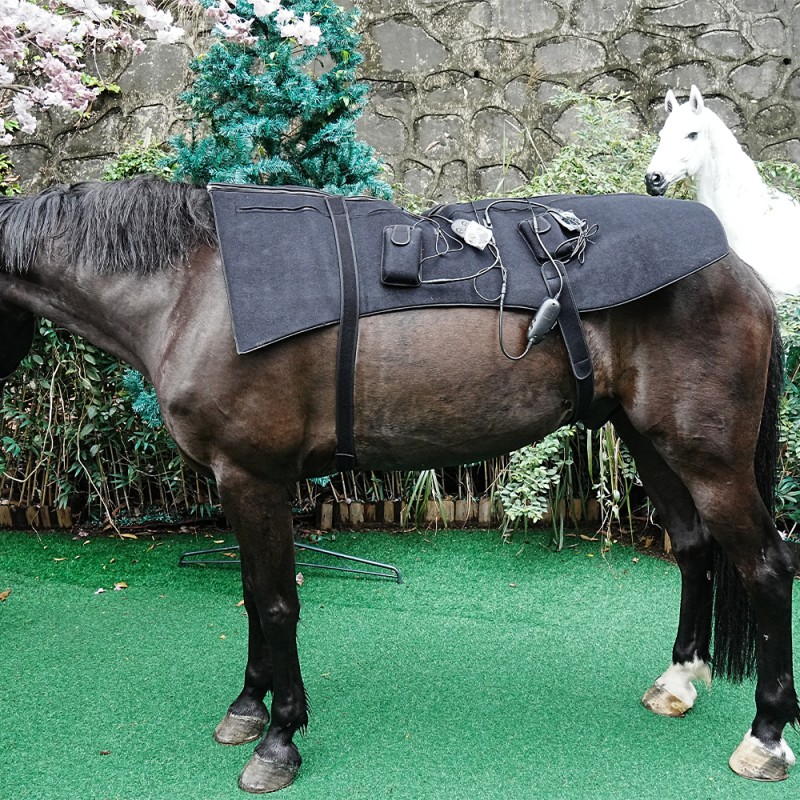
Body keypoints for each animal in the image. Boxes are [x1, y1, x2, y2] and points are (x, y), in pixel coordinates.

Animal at [0, 177, 797, 793]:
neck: (196, 290)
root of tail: (741, 271)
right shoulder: (237, 483)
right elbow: (252, 597)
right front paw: (247, 708)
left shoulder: (254, 478)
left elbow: (277, 604)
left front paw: (279, 739)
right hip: (647, 439)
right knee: (692, 547)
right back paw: (678, 680)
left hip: (709, 458)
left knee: (766, 565)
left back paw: (765, 736)